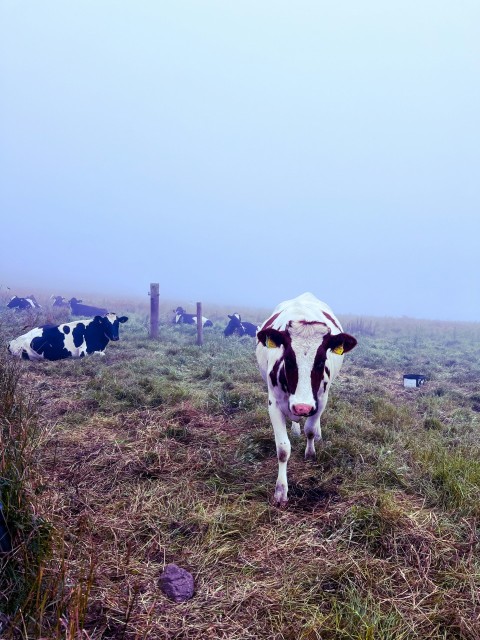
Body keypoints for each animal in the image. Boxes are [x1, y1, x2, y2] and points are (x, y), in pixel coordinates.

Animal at [256, 292, 357, 506]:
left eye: (321, 361)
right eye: (288, 359)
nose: (302, 408)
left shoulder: (321, 399)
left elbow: (309, 429)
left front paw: (310, 452)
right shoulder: (274, 403)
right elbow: (283, 449)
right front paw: (281, 490)